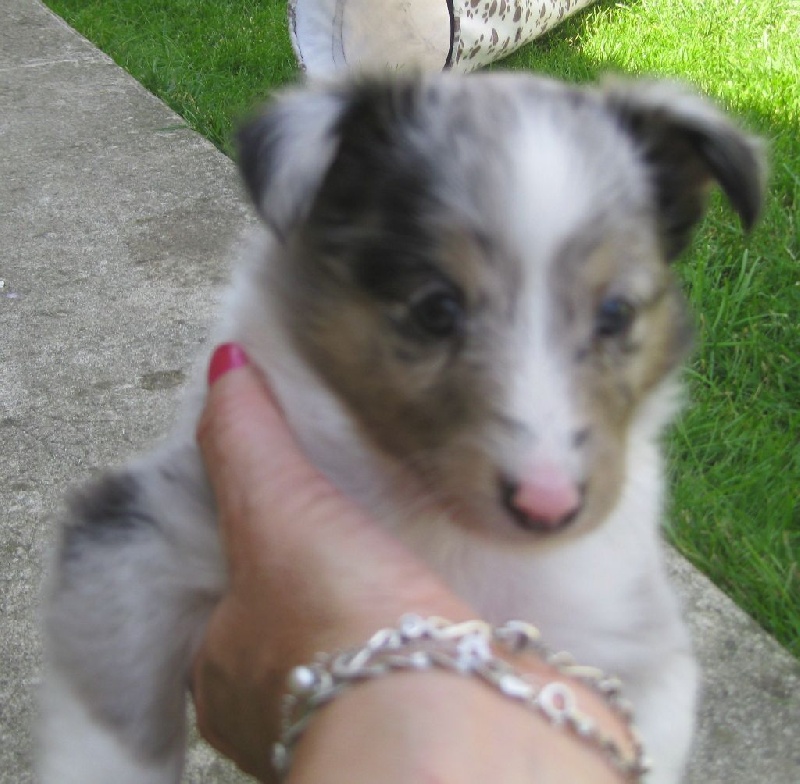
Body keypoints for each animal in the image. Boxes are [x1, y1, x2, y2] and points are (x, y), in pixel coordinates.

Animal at [39, 71, 764, 784]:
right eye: (436, 309)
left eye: (616, 313)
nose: (548, 506)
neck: (439, 528)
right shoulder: (146, 526)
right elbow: (110, 727)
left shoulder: (625, 638)